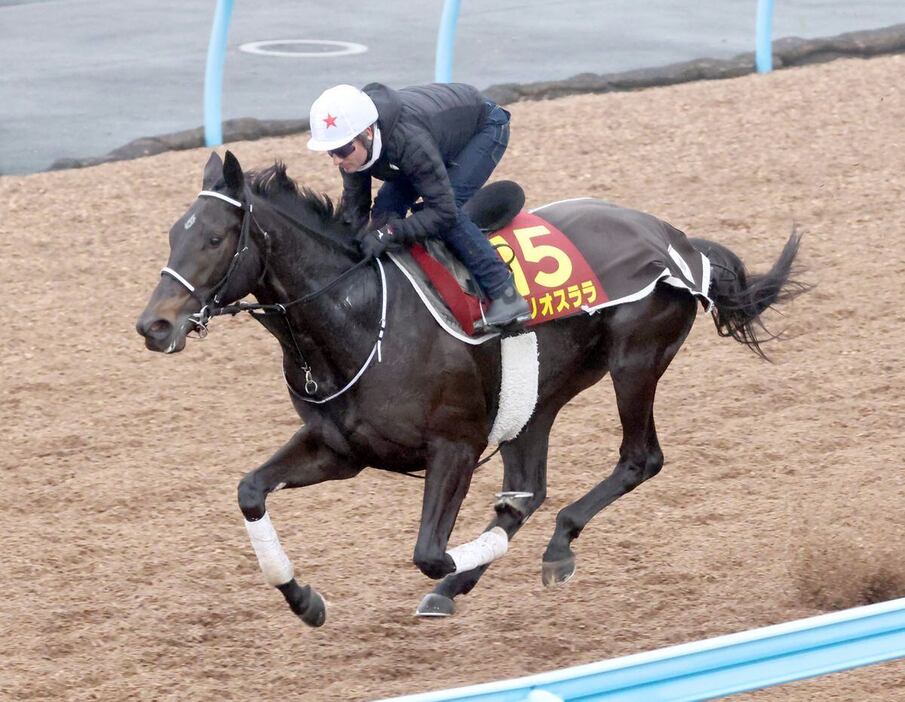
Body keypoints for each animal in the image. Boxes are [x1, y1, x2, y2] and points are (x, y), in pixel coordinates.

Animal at [136, 150, 804, 628]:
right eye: (172, 235)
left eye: (215, 239)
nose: (154, 325)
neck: (362, 315)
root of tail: (681, 243)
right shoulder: (341, 449)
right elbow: (250, 490)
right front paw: (305, 600)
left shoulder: (454, 446)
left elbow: (429, 551)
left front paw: (452, 573)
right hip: (537, 397)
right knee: (528, 489)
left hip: (635, 360)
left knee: (638, 459)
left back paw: (550, 550)